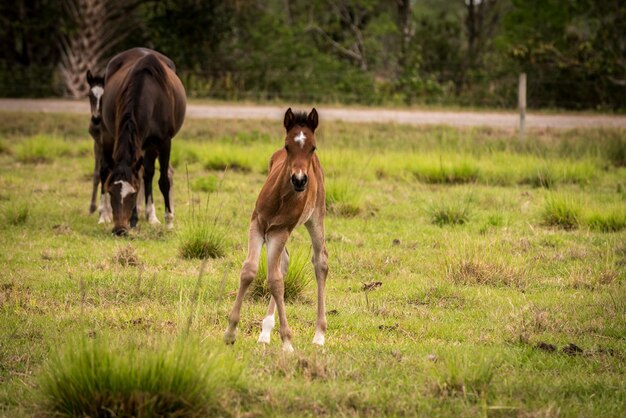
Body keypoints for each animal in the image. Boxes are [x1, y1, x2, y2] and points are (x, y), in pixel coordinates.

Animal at [100, 48, 185, 235]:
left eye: (132, 194)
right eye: (111, 192)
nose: (119, 230)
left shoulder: (163, 142)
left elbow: (163, 181)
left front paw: (168, 221)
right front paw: (133, 219)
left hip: (149, 145)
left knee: (148, 173)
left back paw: (151, 216)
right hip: (109, 134)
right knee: (104, 170)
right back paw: (103, 216)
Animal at [223, 108, 330, 352]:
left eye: (313, 147)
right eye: (288, 146)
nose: (299, 180)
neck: (280, 198)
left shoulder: (280, 230)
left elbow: (275, 282)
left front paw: (287, 341)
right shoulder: (257, 225)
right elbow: (249, 271)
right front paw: (230, 332)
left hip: (314, 217)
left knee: (320, 261)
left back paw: (319, 335)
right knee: (284, 262)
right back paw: (265, 333)